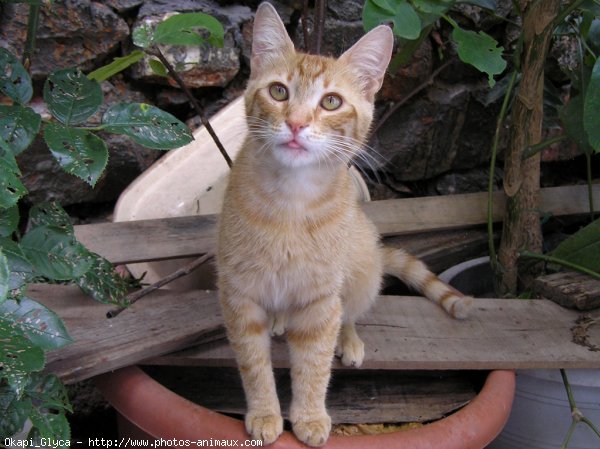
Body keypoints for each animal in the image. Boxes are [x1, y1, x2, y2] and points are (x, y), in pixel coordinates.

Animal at [216, 2, 474, 444]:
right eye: (279, 92)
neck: (290, 202)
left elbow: (314, 365)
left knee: (349, 313)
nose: (297, 123)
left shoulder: (321, 301)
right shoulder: (240, 296)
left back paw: (349, 341)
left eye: (331, 102)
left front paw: (309, 416)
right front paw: (265, 413)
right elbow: (253, 364)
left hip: (361, 270)